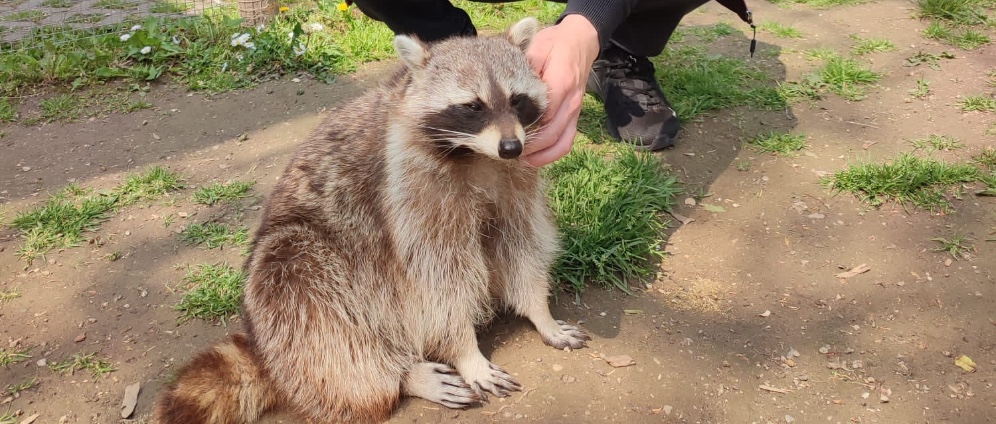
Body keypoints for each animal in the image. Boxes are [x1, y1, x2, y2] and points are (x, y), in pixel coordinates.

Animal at [151, 17, 590, 424]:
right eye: (472, 106)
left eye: (517, 100)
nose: (511, 146)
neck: (476, 155)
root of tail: (268, 354)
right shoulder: (411, 194)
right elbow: (438, 280)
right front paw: (466, 351)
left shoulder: (515, 182)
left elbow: (520, 242)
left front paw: (539, 311)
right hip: (294, 271)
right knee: (312, 310)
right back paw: (399, 376)